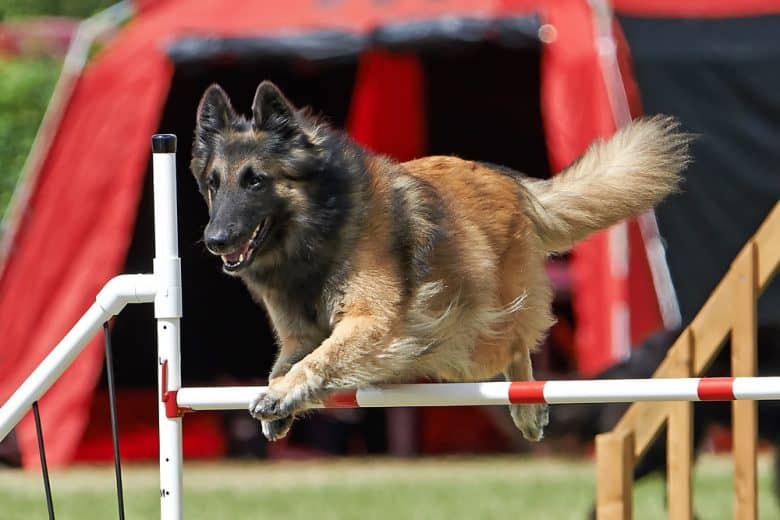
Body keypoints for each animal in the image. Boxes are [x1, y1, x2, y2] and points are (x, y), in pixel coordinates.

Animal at [189, 80, 688, 438]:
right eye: (214, 183)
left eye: (255, 181)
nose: (214, 240)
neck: (321, 229)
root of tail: (513, 185)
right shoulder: (298, 336)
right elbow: (287, 363)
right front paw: (279, 396)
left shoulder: (374, 321)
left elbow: (320, 359)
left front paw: (281, 397)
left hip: (466, 342)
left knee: (516, 344)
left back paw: (527, 408)